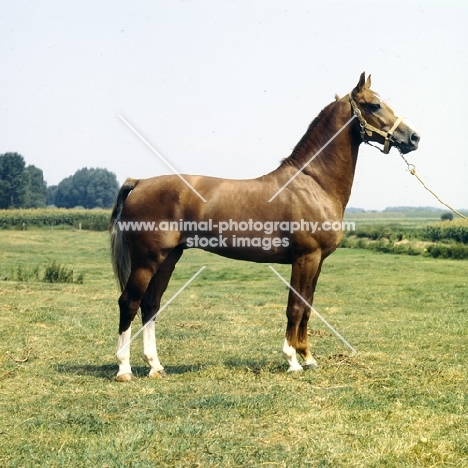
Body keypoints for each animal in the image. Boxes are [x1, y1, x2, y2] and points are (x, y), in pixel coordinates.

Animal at [109, 72, 420, 380]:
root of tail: (139, 182)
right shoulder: (305, 258)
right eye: (375, 106)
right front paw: (292, 360)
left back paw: (155, 366)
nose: (413, 137)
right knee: (129, 302)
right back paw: (124, 369)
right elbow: (295, 307)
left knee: (151, 304)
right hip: (147, 260)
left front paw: (308, 357)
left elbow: (307, 307)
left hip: (168, 257)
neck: (314, 183)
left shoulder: (317, 261)